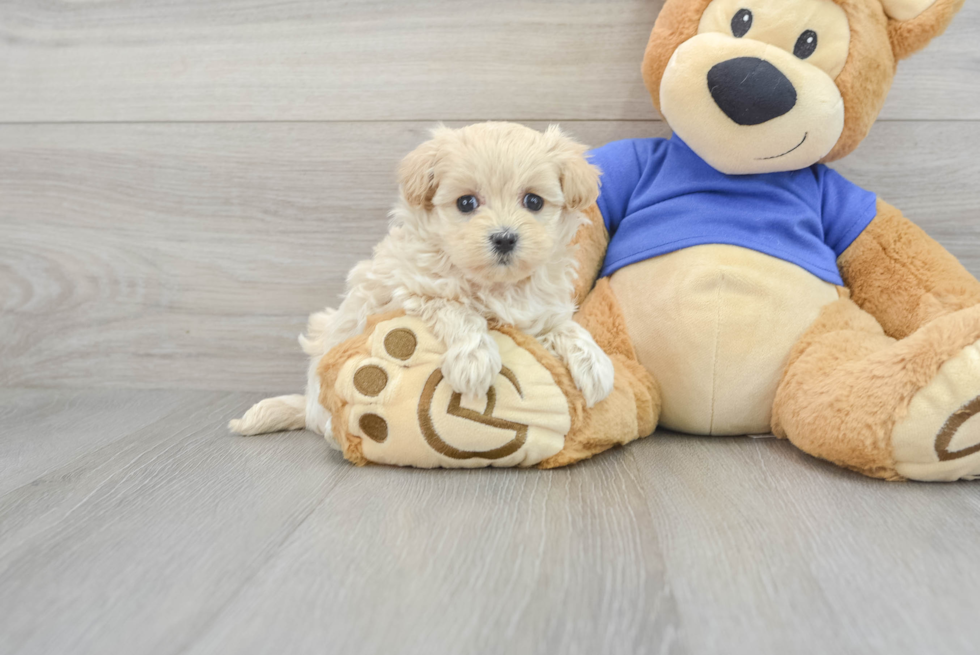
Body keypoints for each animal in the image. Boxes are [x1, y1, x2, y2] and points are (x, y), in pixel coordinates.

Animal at [230, 123, 612, 440]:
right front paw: (474, 362)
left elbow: (566, 327)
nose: (504, 238)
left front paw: (595, 364)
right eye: (466, 203)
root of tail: (308, 403)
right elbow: (457, 310)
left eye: (533, 201)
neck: (494, 285)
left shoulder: (537, 314)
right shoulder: (411, 292)